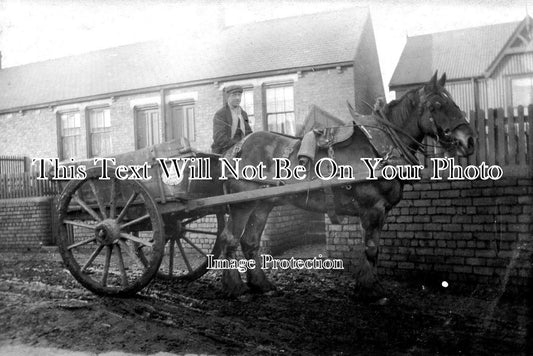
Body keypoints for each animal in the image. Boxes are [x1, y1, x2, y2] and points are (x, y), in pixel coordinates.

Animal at [216, 71, 474, 298]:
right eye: (437, 105)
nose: (468, 140)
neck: (379, 147)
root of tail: (236, 148)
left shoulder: (380, 211)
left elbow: (373, 248)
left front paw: (368, 285)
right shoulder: (372, 208)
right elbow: (371, 247)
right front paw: (369, 290)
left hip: (262, 204)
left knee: (250, 241)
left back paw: (261, 284)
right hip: (242, 205)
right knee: (229, 239)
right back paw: (235, 287)